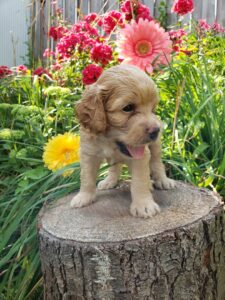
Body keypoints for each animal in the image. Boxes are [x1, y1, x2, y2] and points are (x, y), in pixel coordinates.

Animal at [70, 63, 174, 218]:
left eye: (153, 109)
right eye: (128, 108)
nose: (156, 130)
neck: (110, 140)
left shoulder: (141, 156)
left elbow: (139, 181)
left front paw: (144, 205)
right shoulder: (88, 154)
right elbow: (87, 177)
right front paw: (84, 197)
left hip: (156, 147)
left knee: (157, 163)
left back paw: (163, 181)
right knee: (115, 167)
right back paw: (109, 181)